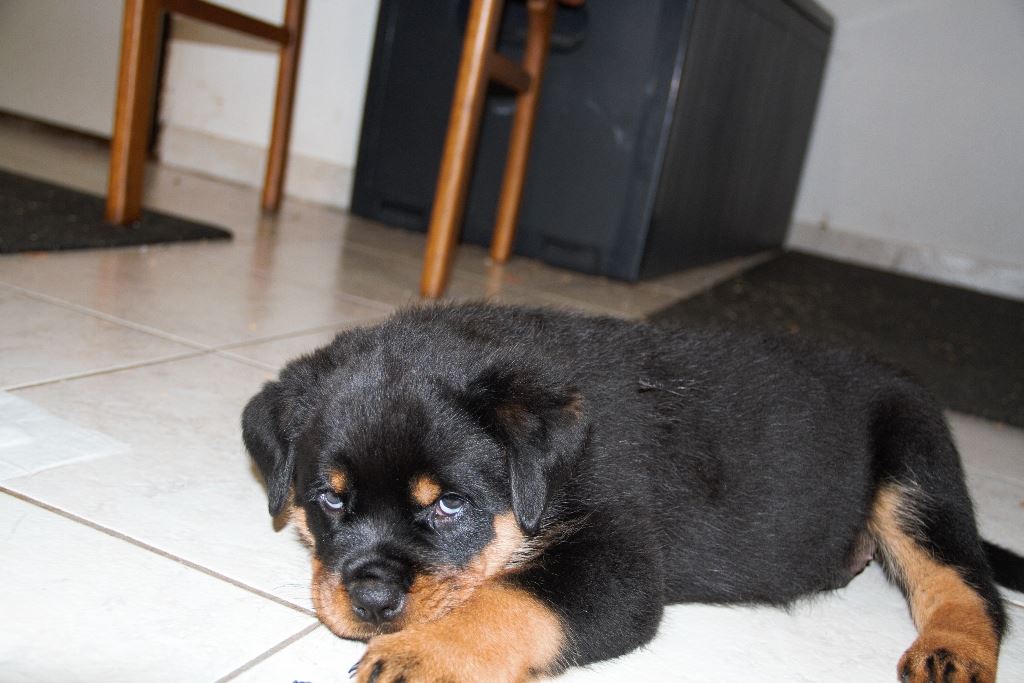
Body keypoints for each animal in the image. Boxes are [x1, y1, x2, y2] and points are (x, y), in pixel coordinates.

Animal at [242, 303, 1021, 682]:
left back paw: (953, 650)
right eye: (331, 499)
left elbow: (510, 598)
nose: (372, 600)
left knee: (964, 580)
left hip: (916, 466)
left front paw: (424, 654)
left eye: (449, 504)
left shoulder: (620, 563)